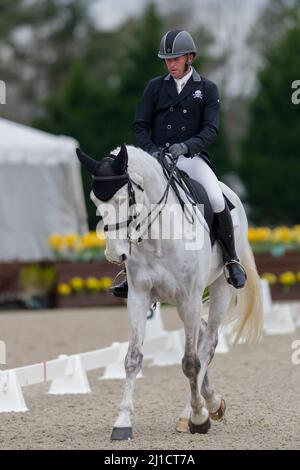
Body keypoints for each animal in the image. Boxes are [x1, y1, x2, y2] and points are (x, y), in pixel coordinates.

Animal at [76, 143, 262, 440]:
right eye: (95, 201)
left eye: (124, 200)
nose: (115, 254)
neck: (157, 237)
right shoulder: (138, 297)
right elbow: (133, 358)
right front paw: (122, 422)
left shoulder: (190, 298)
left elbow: (190, 362)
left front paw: (198, 418)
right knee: (203, 335)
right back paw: (211, 401)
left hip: (218, 288)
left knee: (208, 342)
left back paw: (194, 411)